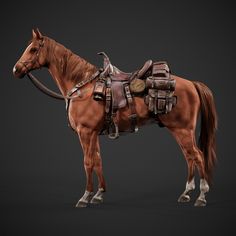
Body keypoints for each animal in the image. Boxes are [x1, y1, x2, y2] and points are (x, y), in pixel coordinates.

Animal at [12, 29, 217, 206]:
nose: (16, 70)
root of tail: (192, 84)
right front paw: (99, 194)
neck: (83, 87)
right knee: (189, 156)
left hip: (182, 129)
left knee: (197, 155)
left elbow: (88, 161)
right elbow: (97, 160)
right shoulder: (93, 134)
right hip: (179, 130)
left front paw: (85, 197)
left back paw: (201, 196)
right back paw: (186, 193)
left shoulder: (85, 132)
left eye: (33, 49)